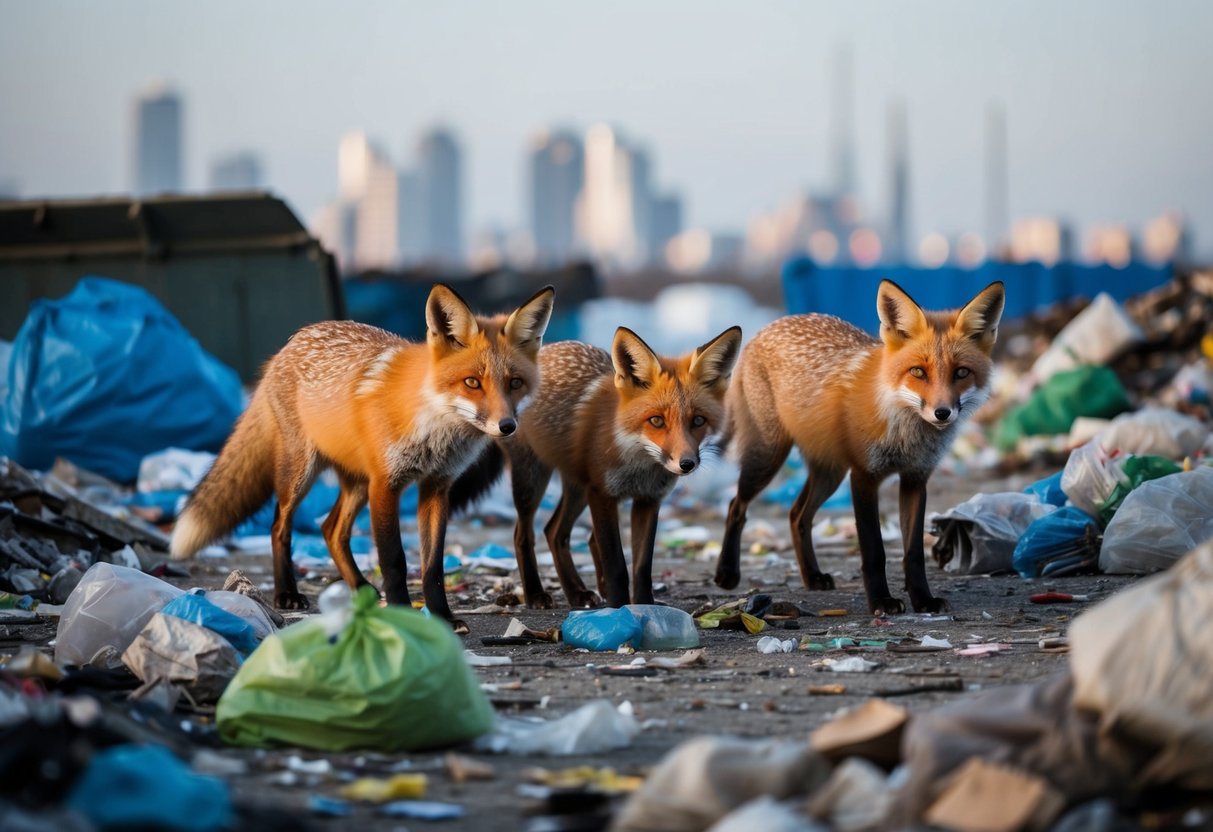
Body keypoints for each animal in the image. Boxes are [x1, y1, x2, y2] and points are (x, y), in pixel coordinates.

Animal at [170, 283, 555, 632]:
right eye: (472, 382)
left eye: (515, 383)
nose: (507, 426)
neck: (433, 428)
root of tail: (293, 340)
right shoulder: (386, 485)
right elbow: (395, 560)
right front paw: (402, 616)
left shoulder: (436, 486)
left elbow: (433, 567)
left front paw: (443, 617)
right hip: (301, 474)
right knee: (280, 525)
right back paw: (287, 593)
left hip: (356, 482)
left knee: (330, 530)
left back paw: (360, 589)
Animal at [486, 326, 742, 609]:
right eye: (656, 420)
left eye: (698, 420)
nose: (686, 464)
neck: (640, 463)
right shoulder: (602, 494)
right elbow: (617, 565)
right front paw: (619, 608)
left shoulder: (648, 500)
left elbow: (641, 567)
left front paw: (644, 606)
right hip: (533, 479)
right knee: (523, 534)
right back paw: (535, 593)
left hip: (578, 487)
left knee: (555, 532)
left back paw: (577, 591)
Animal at [713, 280, 1005, 615]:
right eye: (918, 372)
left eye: (961, 372)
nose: (942, 413)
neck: (903, 429)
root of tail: (766, 328)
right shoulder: (864, 476)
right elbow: (874, 551)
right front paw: (880, 601)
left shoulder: (915, 478)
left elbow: (914, 553)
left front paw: (922, 599)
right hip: (768, 457)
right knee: (736, 506)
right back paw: (727, 573)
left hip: (830, 472)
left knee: (797, 515)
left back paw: (812, 577)